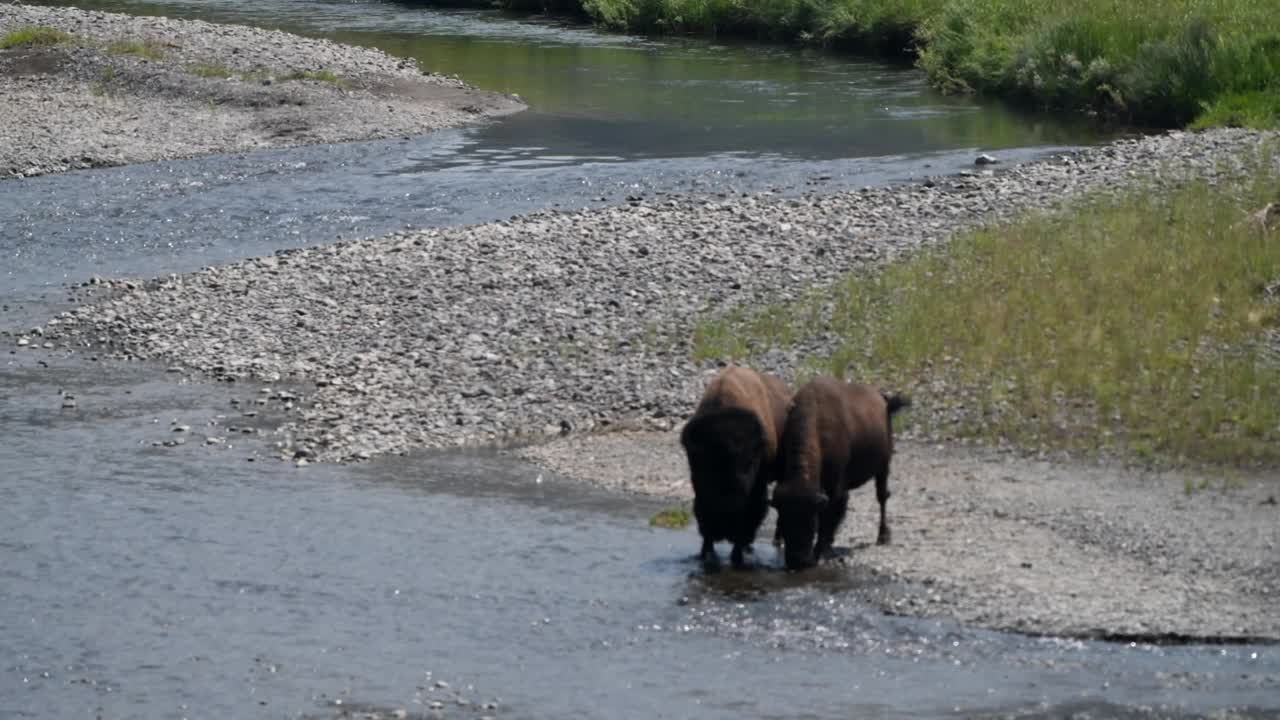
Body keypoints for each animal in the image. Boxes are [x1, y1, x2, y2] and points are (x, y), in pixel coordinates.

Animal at [768, 371, 911, 568]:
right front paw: (778, 540)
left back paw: (882, 536)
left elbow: (829, 518)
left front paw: (821, 551)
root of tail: (883, 400)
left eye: (810, 521)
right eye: (784, 519)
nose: (798, 562)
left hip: (884, 466)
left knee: (882, 497)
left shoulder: (835, 489)